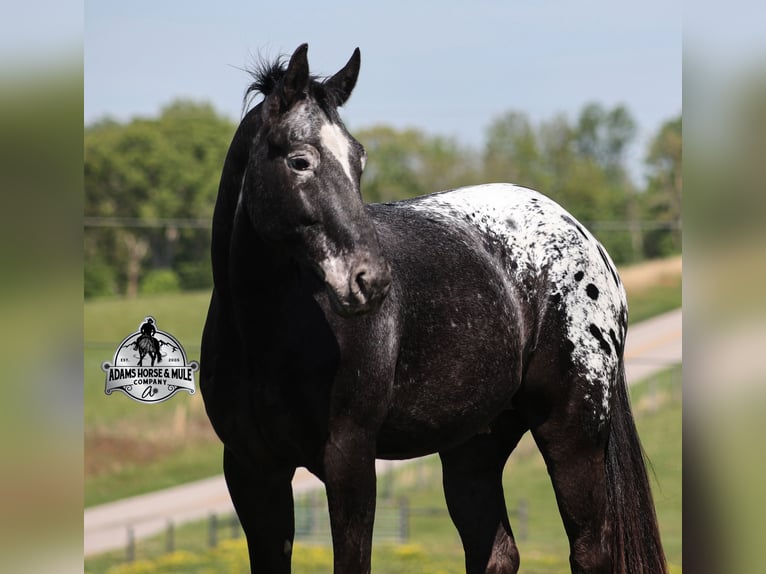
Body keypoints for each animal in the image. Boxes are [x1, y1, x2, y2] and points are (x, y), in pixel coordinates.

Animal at [200, 44, 666, 574]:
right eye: (300, 161)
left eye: (359, 160)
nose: (371, 280)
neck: (263, 336)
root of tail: (588, 241)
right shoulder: (253, 473)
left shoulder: (349, 463)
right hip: (474, 446)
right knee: (496, 551)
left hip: (572, 434)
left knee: (590, 551)